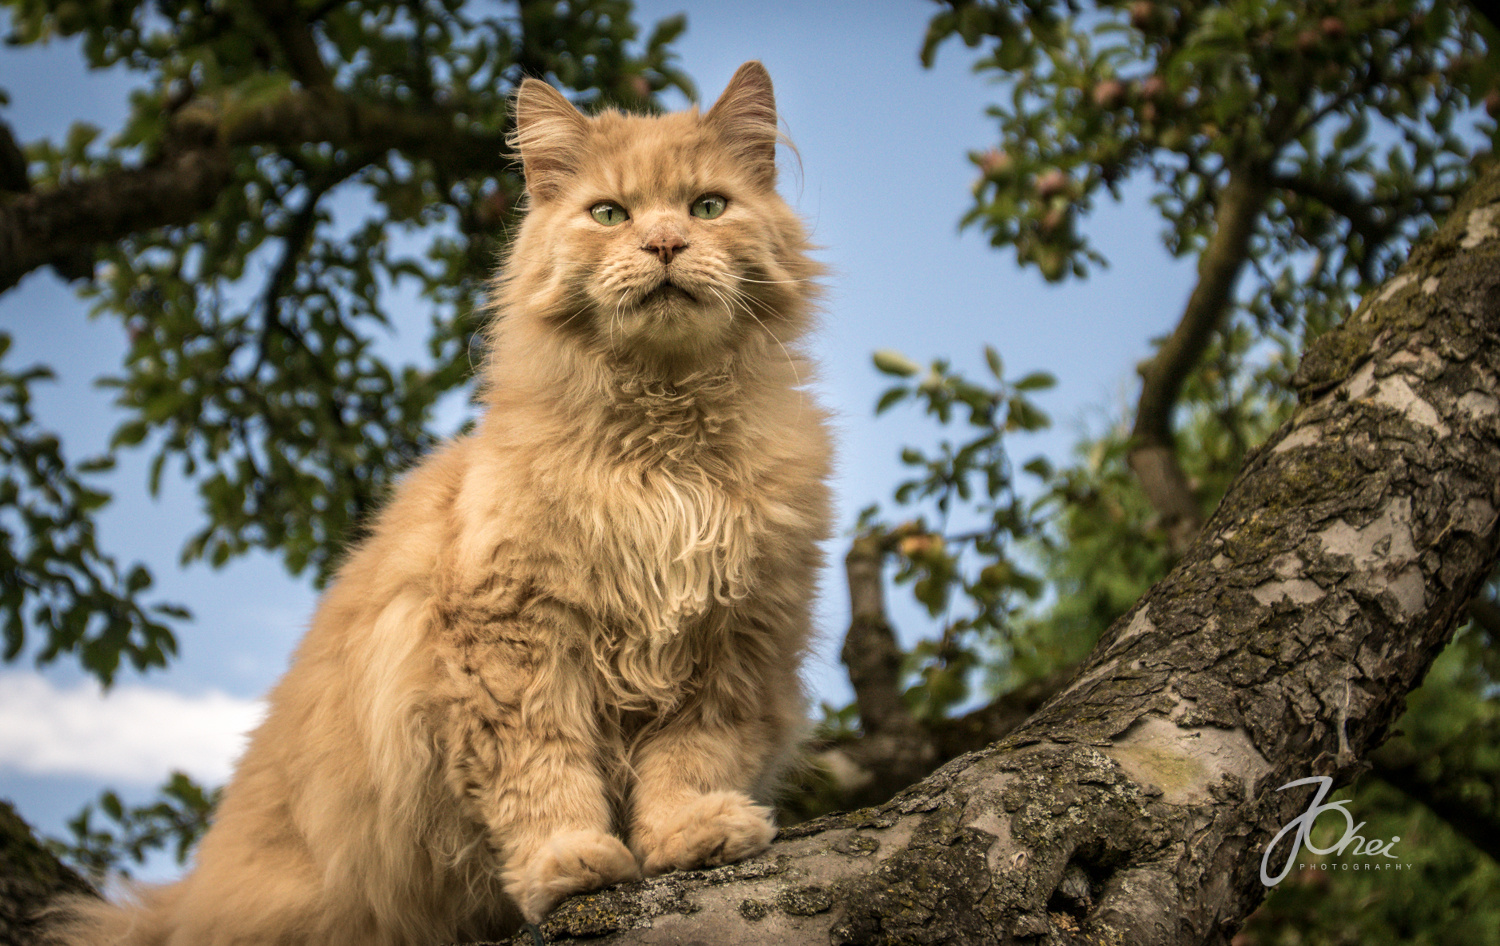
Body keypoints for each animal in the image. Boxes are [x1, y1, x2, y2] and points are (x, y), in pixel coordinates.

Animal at [52, 61, 834, 946]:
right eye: (610, 214)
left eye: (707, 207)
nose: (665, 244)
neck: (660, 453)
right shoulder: (511, 642)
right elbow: (544, 774)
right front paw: (570, 862)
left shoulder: (732, 646)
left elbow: (688, 762)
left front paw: (692, 835)